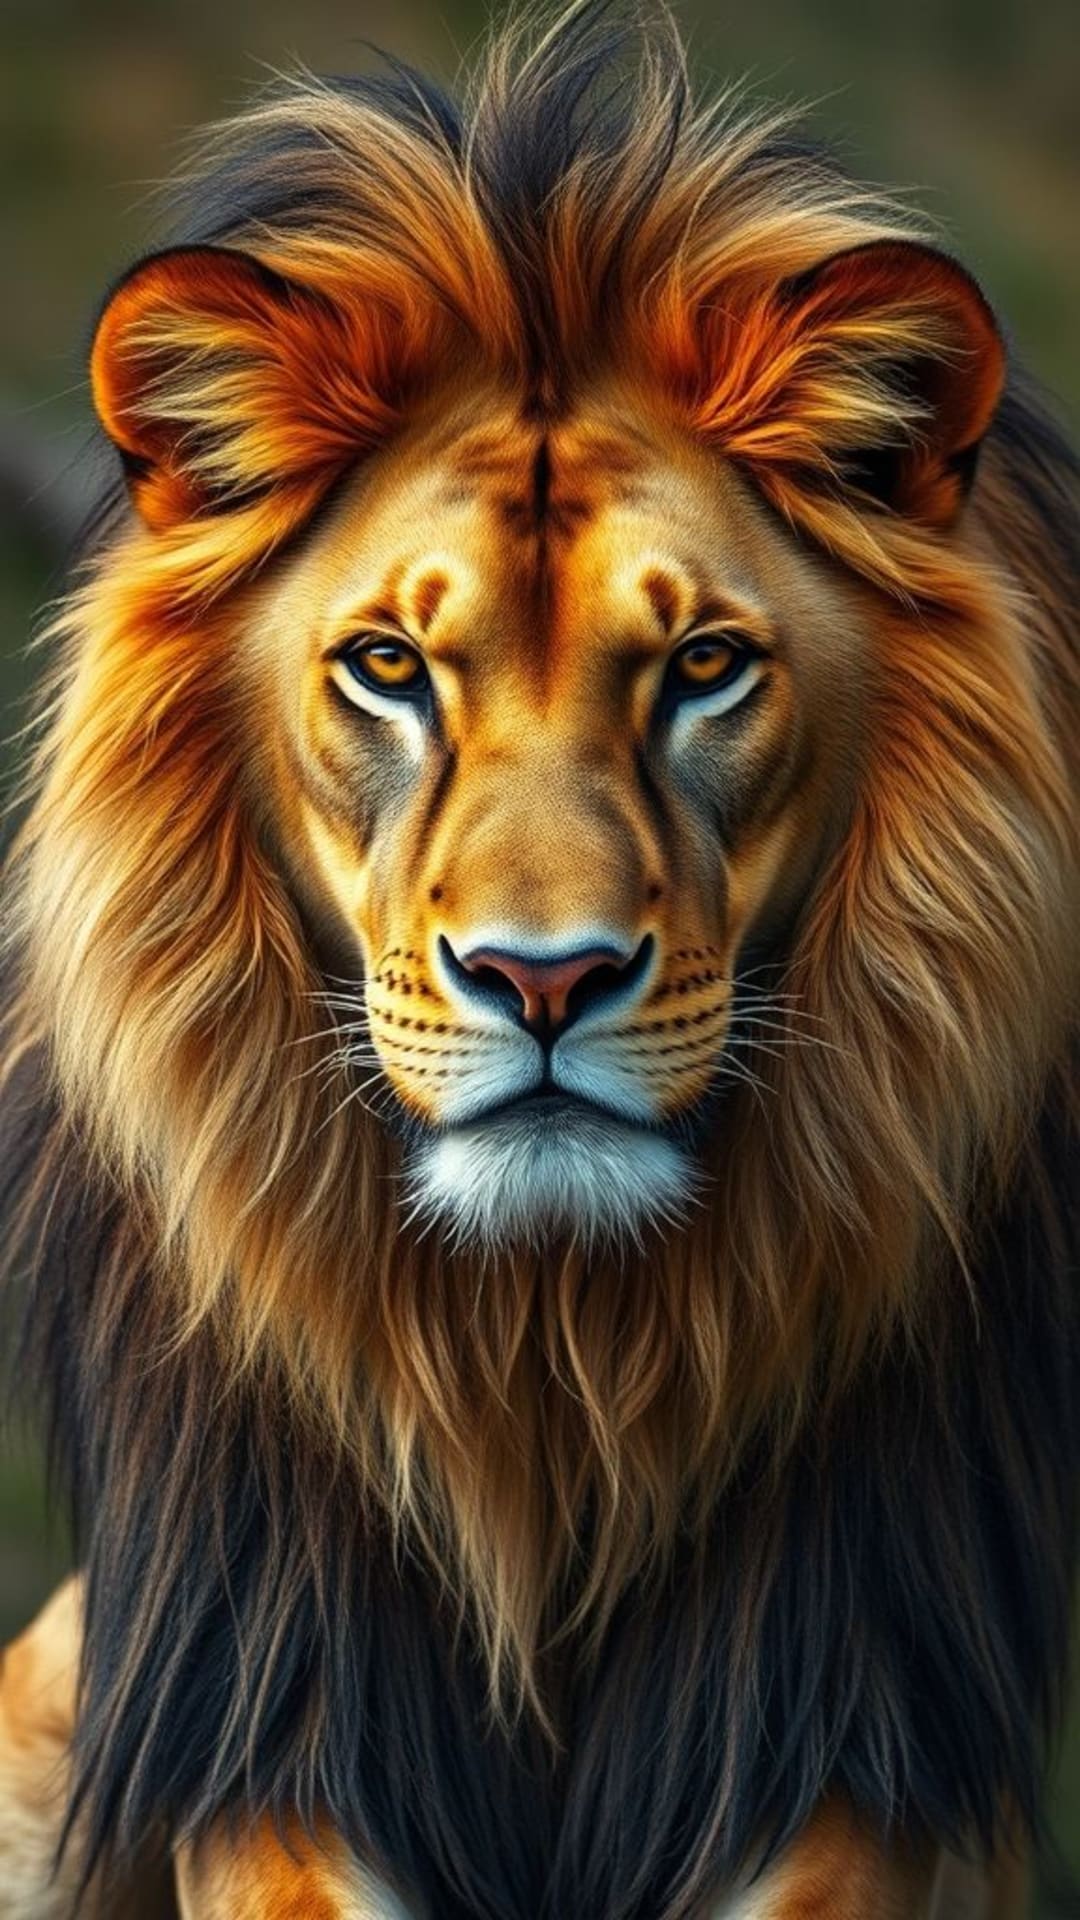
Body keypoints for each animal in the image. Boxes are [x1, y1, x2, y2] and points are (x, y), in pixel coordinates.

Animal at [1, 5, 1077, 1917]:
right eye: (387, 666)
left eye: (707, 665)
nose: (548, 982)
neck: (547, 1367)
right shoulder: (274, 1707)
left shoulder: (845, 1713)